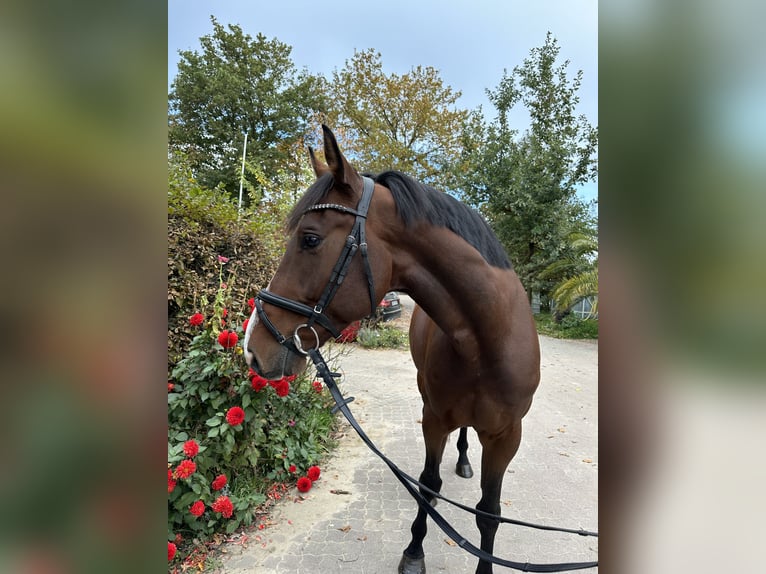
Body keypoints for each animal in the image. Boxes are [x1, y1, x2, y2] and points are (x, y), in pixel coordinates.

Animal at [244, 126, 540, 574]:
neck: (488, 341)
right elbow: (428, 485)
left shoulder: (507, 436)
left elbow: (489, 512)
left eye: (310, 239)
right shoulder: (433, 419)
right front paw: (414, 551)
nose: (252, 347)